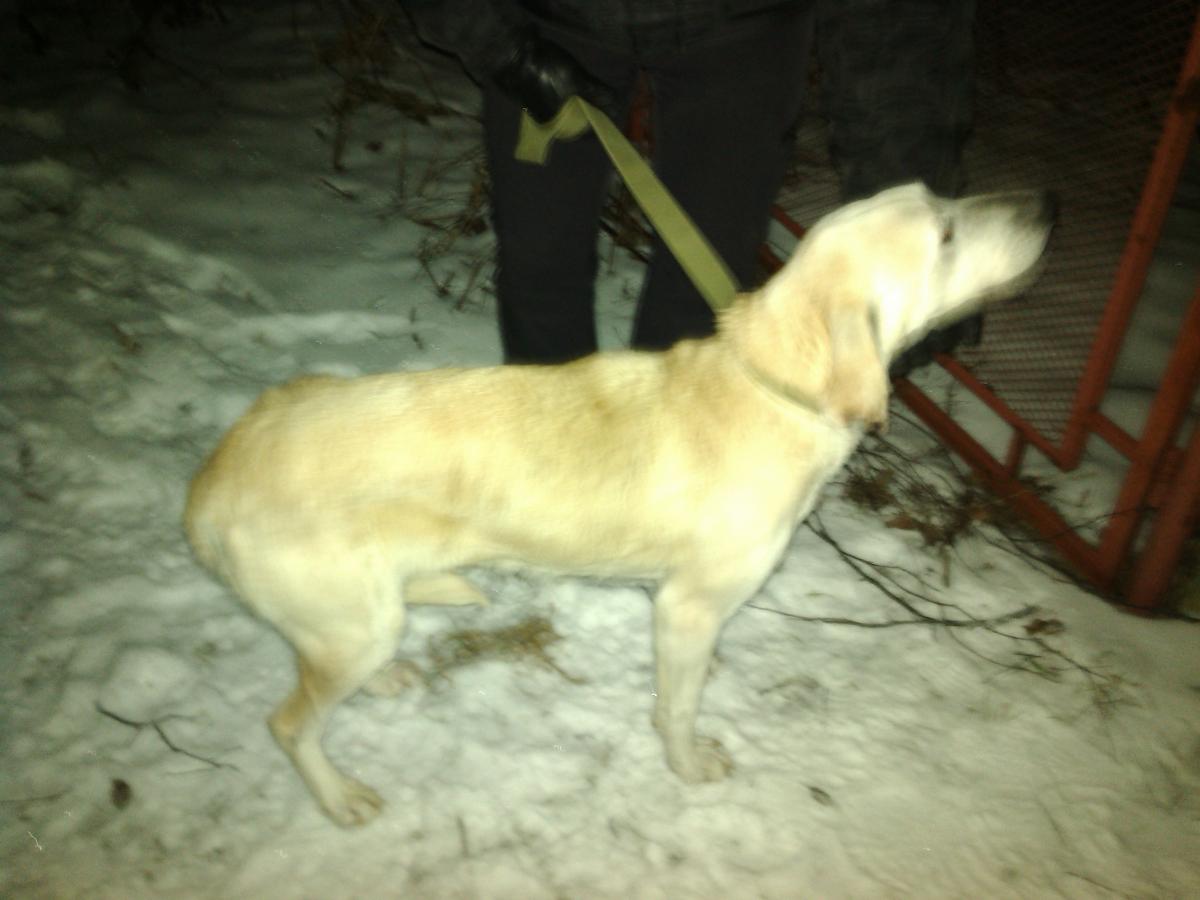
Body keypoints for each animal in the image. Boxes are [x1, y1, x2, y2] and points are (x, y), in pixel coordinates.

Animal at [185, 182, 1054, 825]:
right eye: (945, 233)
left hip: (360, 620)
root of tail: (212, 480)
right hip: (351, 625)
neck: (770, 388)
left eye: (945, 196)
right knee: (289, 724)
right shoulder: (687, 608)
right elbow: (679, 710)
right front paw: (688, 767)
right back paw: (339, 798)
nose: (1046, 207)